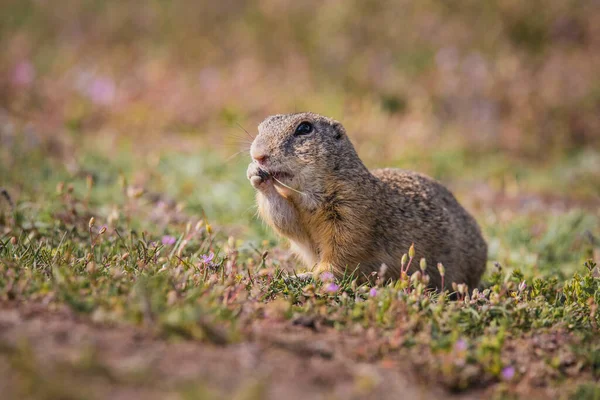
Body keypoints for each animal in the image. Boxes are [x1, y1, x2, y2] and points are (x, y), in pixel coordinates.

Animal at [246, 111, 486, 290]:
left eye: (304, 128)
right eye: (261, 127)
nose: (258, 155)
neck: (308, 194)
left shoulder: (352, 211)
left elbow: (340, 253)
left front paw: (304, 276)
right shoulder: (297, 210)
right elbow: (288, 222)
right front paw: (255, 174)